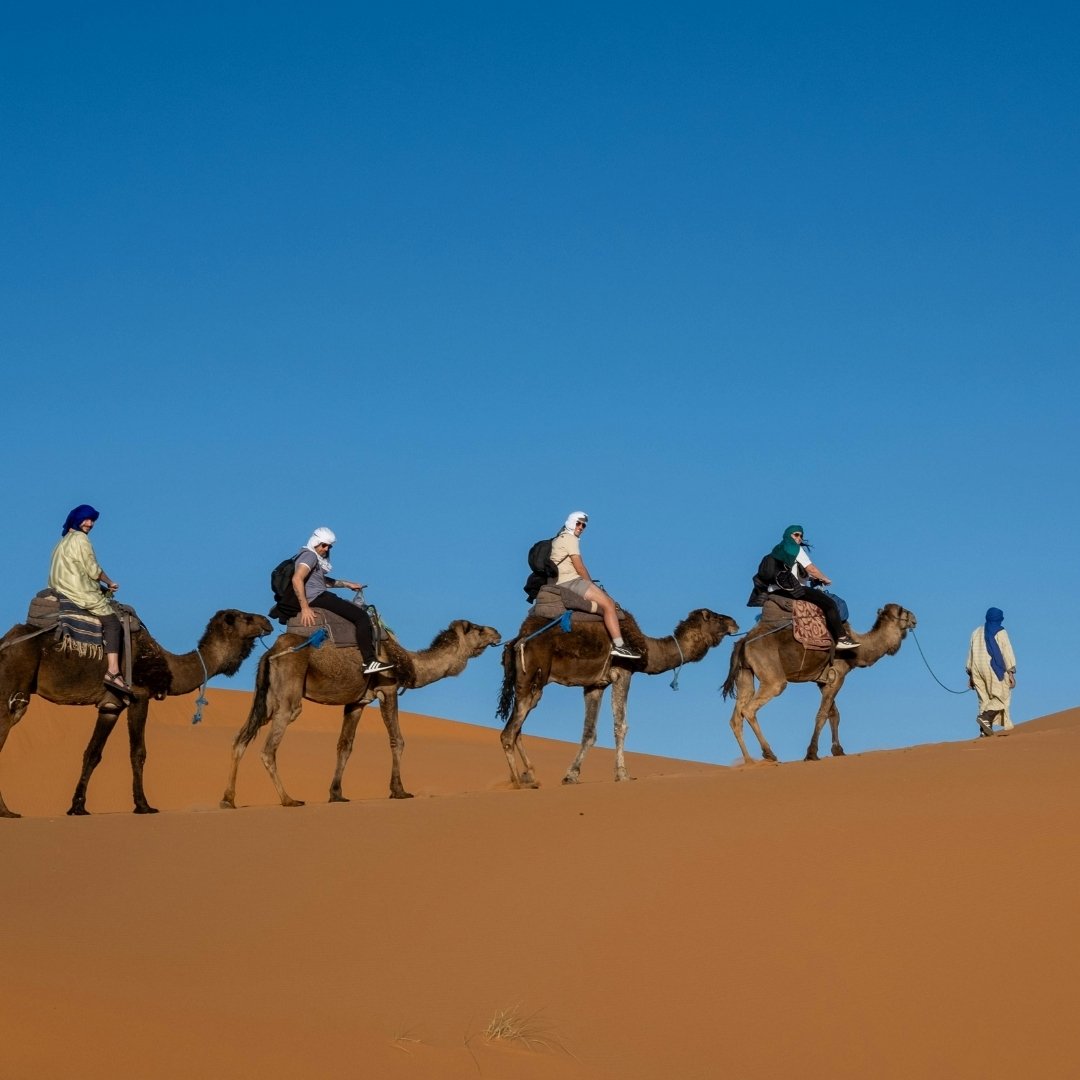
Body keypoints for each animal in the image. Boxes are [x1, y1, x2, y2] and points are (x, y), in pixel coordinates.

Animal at [0, 609, 272, 817]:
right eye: (246, 617)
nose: (267, 621)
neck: (168, 665)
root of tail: (5, 643)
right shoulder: (139, 695)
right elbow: (138, 752)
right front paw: (143, 805)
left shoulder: (111, 706)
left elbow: (92, 753)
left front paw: (78, 807)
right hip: (14, 689)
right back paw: (7, 811)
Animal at [219, 618, 501, 809]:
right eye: (477, 628)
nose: (497, 632)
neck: (408, 662)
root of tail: (270, 653)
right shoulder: (388, 689)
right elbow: (397, 740)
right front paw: (399, 791)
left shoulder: (356, 703)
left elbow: (345, 745)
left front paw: (336, 794)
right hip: (289, 695)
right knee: (268, 748)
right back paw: (289, 799)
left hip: (265, 698)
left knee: (240, 739)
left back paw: (228, 799)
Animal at [496, 608, 739, 788]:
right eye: (715, 617)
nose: (734, 622)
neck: (647, 649)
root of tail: (515, 642)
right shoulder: (623, 672)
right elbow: (620, 725)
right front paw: (622, 774)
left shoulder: (594, 685)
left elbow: (589, 732)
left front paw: (571, 776)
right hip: (532, 677)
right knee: (509, 731)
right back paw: (518, 783)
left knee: (517, 728)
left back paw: (531, 777)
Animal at [722, 602, 917, 764]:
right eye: (902, 611)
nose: (915, 619)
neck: (859, 649)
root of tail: (743, 642)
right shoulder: (837, 676)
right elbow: (822, 715)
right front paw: (812, 753)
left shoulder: (823, 682)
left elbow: (834, 714)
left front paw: (838, 750)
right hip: (772, 677)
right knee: (750, 708)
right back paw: (769, 753)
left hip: (745, 673)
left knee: (736, 717)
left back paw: (749, 761)